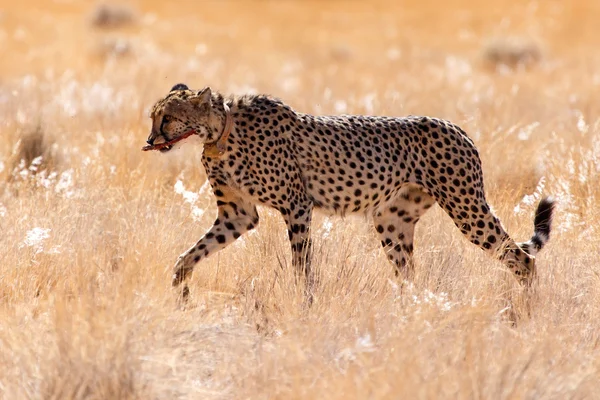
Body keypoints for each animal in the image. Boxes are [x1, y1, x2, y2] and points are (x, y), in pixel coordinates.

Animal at [143, 83, 556, 296]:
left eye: (168, 117)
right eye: (153, 117)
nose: (149, 140)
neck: (219, 132)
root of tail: (458, 127)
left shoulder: (297, 205)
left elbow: (302, 264)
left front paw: (304, 303)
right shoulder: (238, 215)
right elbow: (191, 253)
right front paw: (180, 287)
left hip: (466, 206)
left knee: (522, 260)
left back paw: (524, 317)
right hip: (392, 221)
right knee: (409, 276)